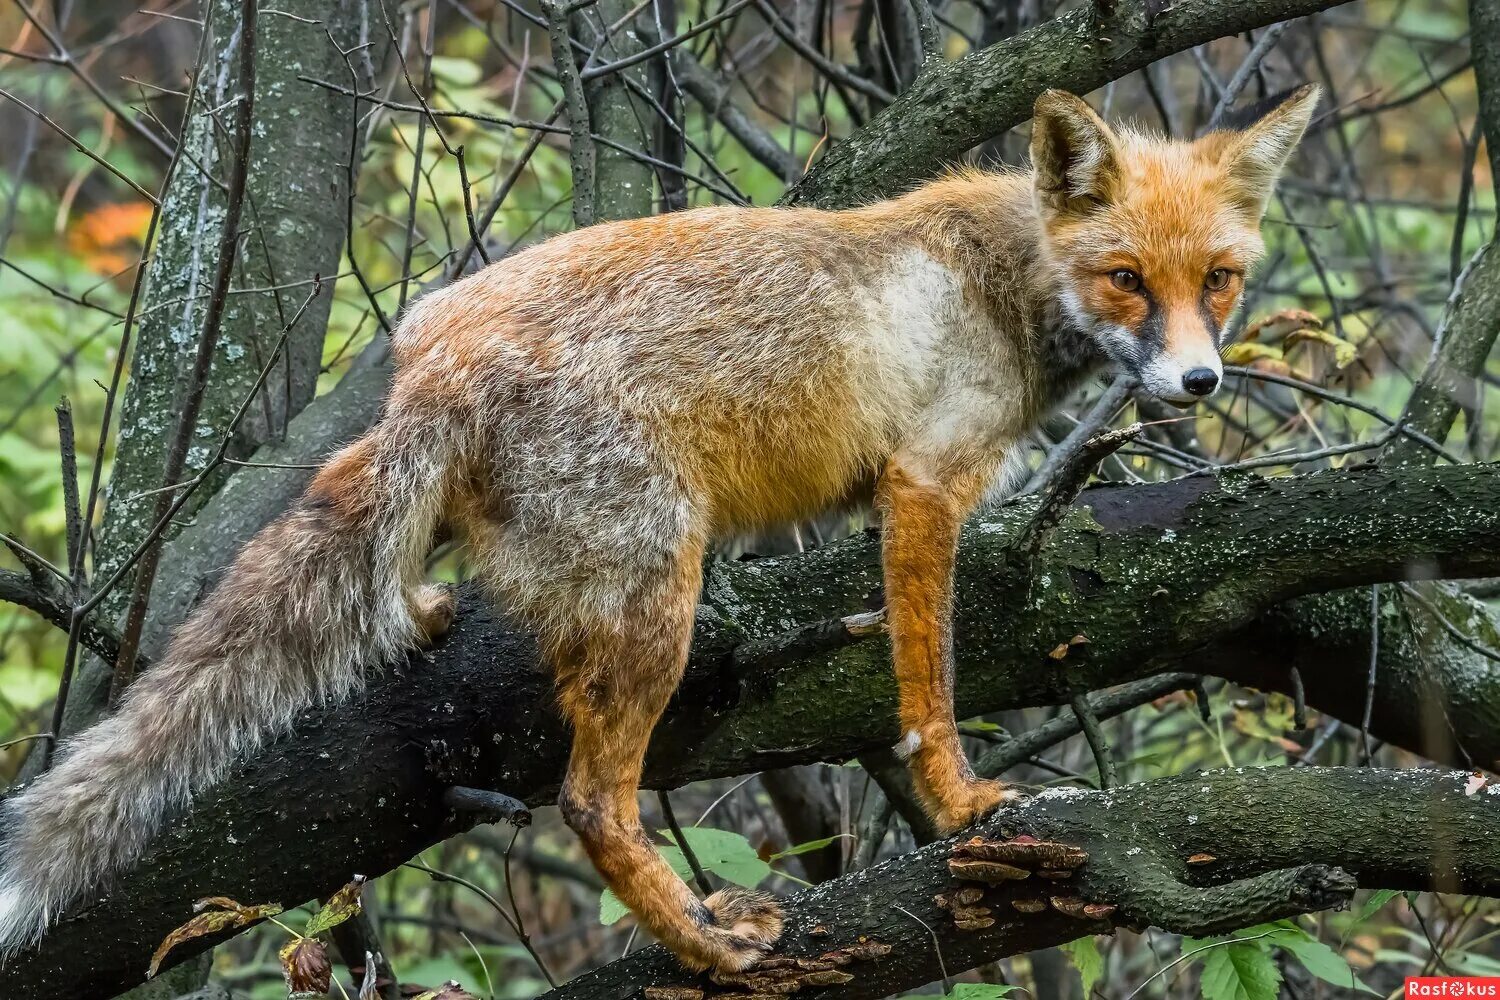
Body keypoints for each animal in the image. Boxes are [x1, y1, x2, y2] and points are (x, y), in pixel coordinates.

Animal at [0, 86, 1314, 977]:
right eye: (1128, 278)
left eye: (1219, 281)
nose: (1198, 383)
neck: (1003, 281)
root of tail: (435, 366)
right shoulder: (924, 488)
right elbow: (928, 686)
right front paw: (958, 808)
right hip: (656, 605)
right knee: (590, 803)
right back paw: (700, 941)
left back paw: (420, 614)